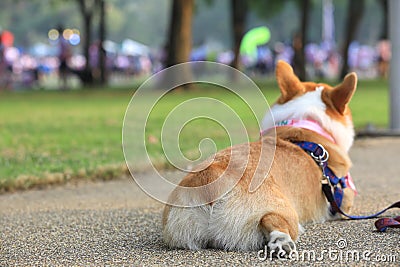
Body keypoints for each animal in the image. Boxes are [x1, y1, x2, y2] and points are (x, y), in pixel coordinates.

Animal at [162, 61, 356, 255]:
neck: (302, 126)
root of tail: (210, 179)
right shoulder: (343, 199)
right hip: (280, 207)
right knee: (273, 220)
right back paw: (282, 242)